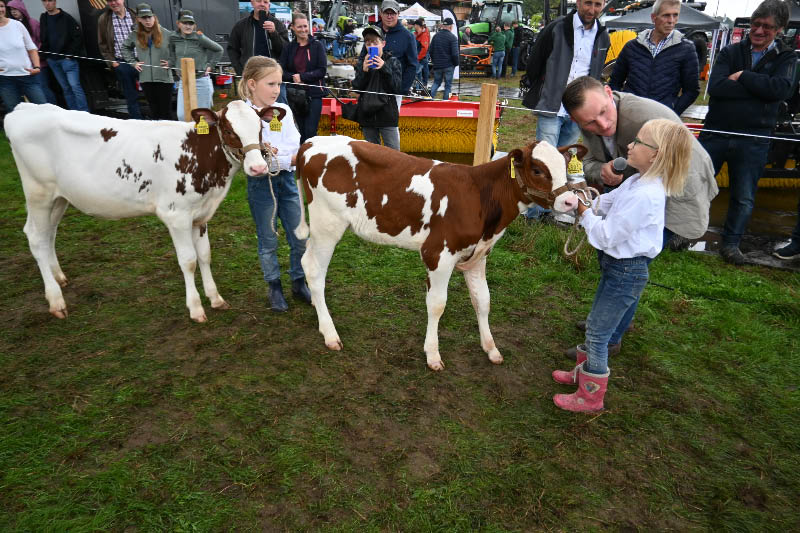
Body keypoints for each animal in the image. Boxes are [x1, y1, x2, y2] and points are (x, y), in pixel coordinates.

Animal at [5, 101, 284, 322]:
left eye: (260, 128)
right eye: (227, 130)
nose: (258, 167)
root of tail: (25, 109)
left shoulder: (200, 214)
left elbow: (205, 255)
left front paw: (215, 298)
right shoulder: (176, 215)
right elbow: (189, 260)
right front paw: (195, 308)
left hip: (60, 197)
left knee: (48, 233)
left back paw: (59, 277)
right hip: (38, 193)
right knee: (35, 237)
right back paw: (55, 300)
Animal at [293, 136, 586, 371]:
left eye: (564, 169)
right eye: (537, 170)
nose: (571, 201)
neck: (479, 194)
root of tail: (312, 142)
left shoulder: (478, 256)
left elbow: (483, 300)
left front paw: (491, 348)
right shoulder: (438, 253)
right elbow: (437, 304)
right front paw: (433, 354)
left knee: (305, 259)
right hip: (328, 224)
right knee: (315, 270)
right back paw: (329, 333)